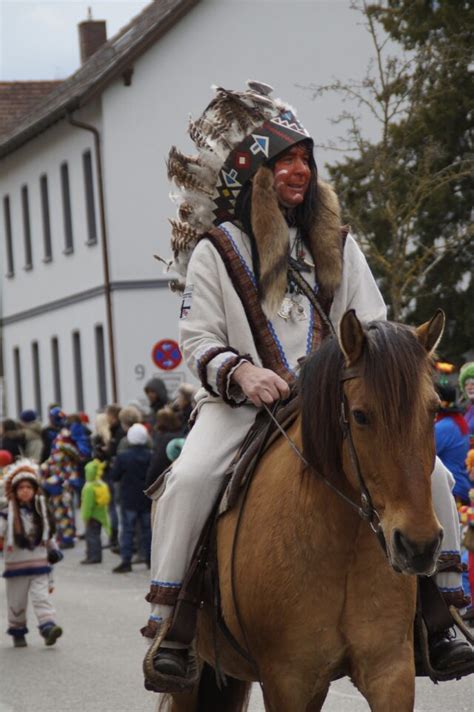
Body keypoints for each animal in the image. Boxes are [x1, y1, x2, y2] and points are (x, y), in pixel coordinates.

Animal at [160, 310, 448, 712]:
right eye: (360, 415)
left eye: (434, 410)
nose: (418, 546)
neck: (344, 548)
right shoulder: (287, 679)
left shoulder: (390, 670)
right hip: (193, 673)